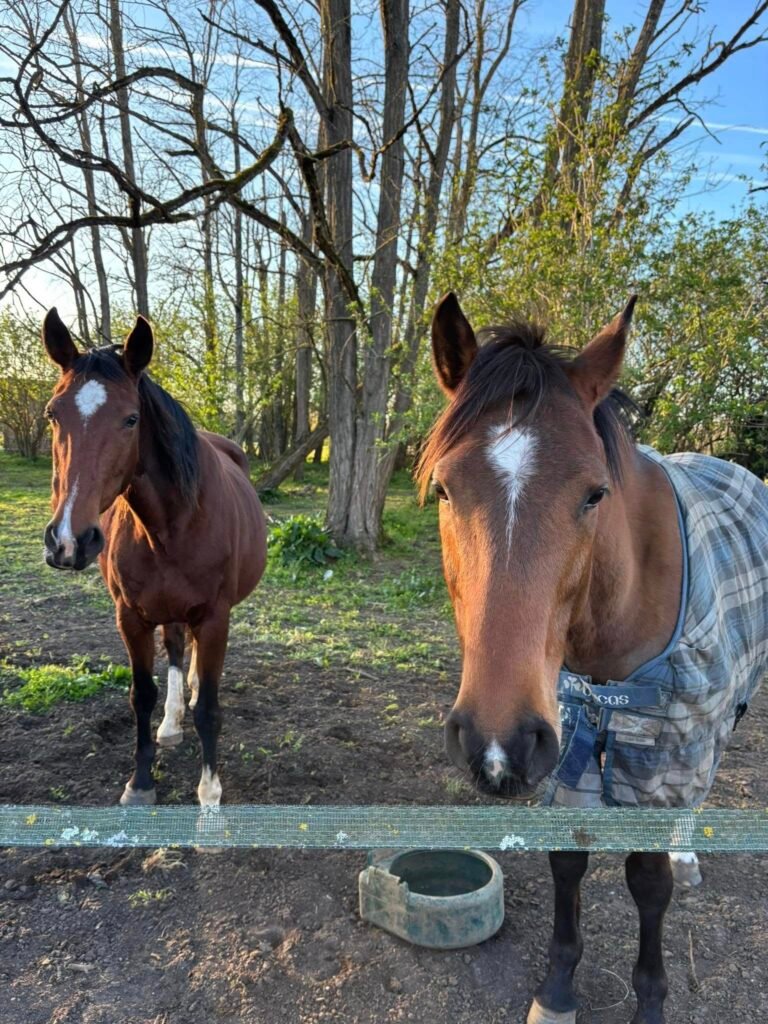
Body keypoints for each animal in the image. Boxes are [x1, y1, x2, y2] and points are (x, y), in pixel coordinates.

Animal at [41, 308, 267, 810]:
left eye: (130, 419)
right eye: (52, 414)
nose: (68, 540)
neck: (173, 525)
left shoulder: (215, 615)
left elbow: (210, 709)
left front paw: (210, 794)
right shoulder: (131, 616)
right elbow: (141, 694)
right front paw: (141, 781)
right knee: (178, 651)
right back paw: (171, 721)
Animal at [418, 293, 768, 1024]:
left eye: (594, 493)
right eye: (444, 489)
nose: (496, 742)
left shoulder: (656, 755)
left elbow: (648, 882)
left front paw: (651, 1000)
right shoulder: (568, 743)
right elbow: (567, 862)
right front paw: (556, 990)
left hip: (714, 720)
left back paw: (686, 852)